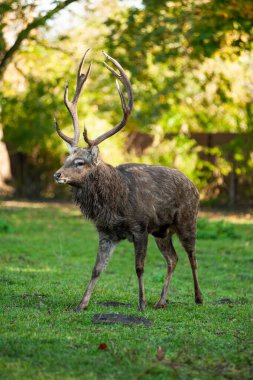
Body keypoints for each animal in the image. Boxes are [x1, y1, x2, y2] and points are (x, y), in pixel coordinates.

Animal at [53, 49, 204, 310]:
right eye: (66, 158)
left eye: (80, 162)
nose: (57, 174)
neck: (115, 204)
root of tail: (194, 186)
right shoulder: (106, 232)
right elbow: (96, 269)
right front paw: (82, 304)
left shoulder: (140, 227)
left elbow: (139, 268)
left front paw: (141, 303)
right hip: (162, 231)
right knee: (172, 258)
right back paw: (161, 301)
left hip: (187, 219)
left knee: (192, 257)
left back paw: (198, 297)